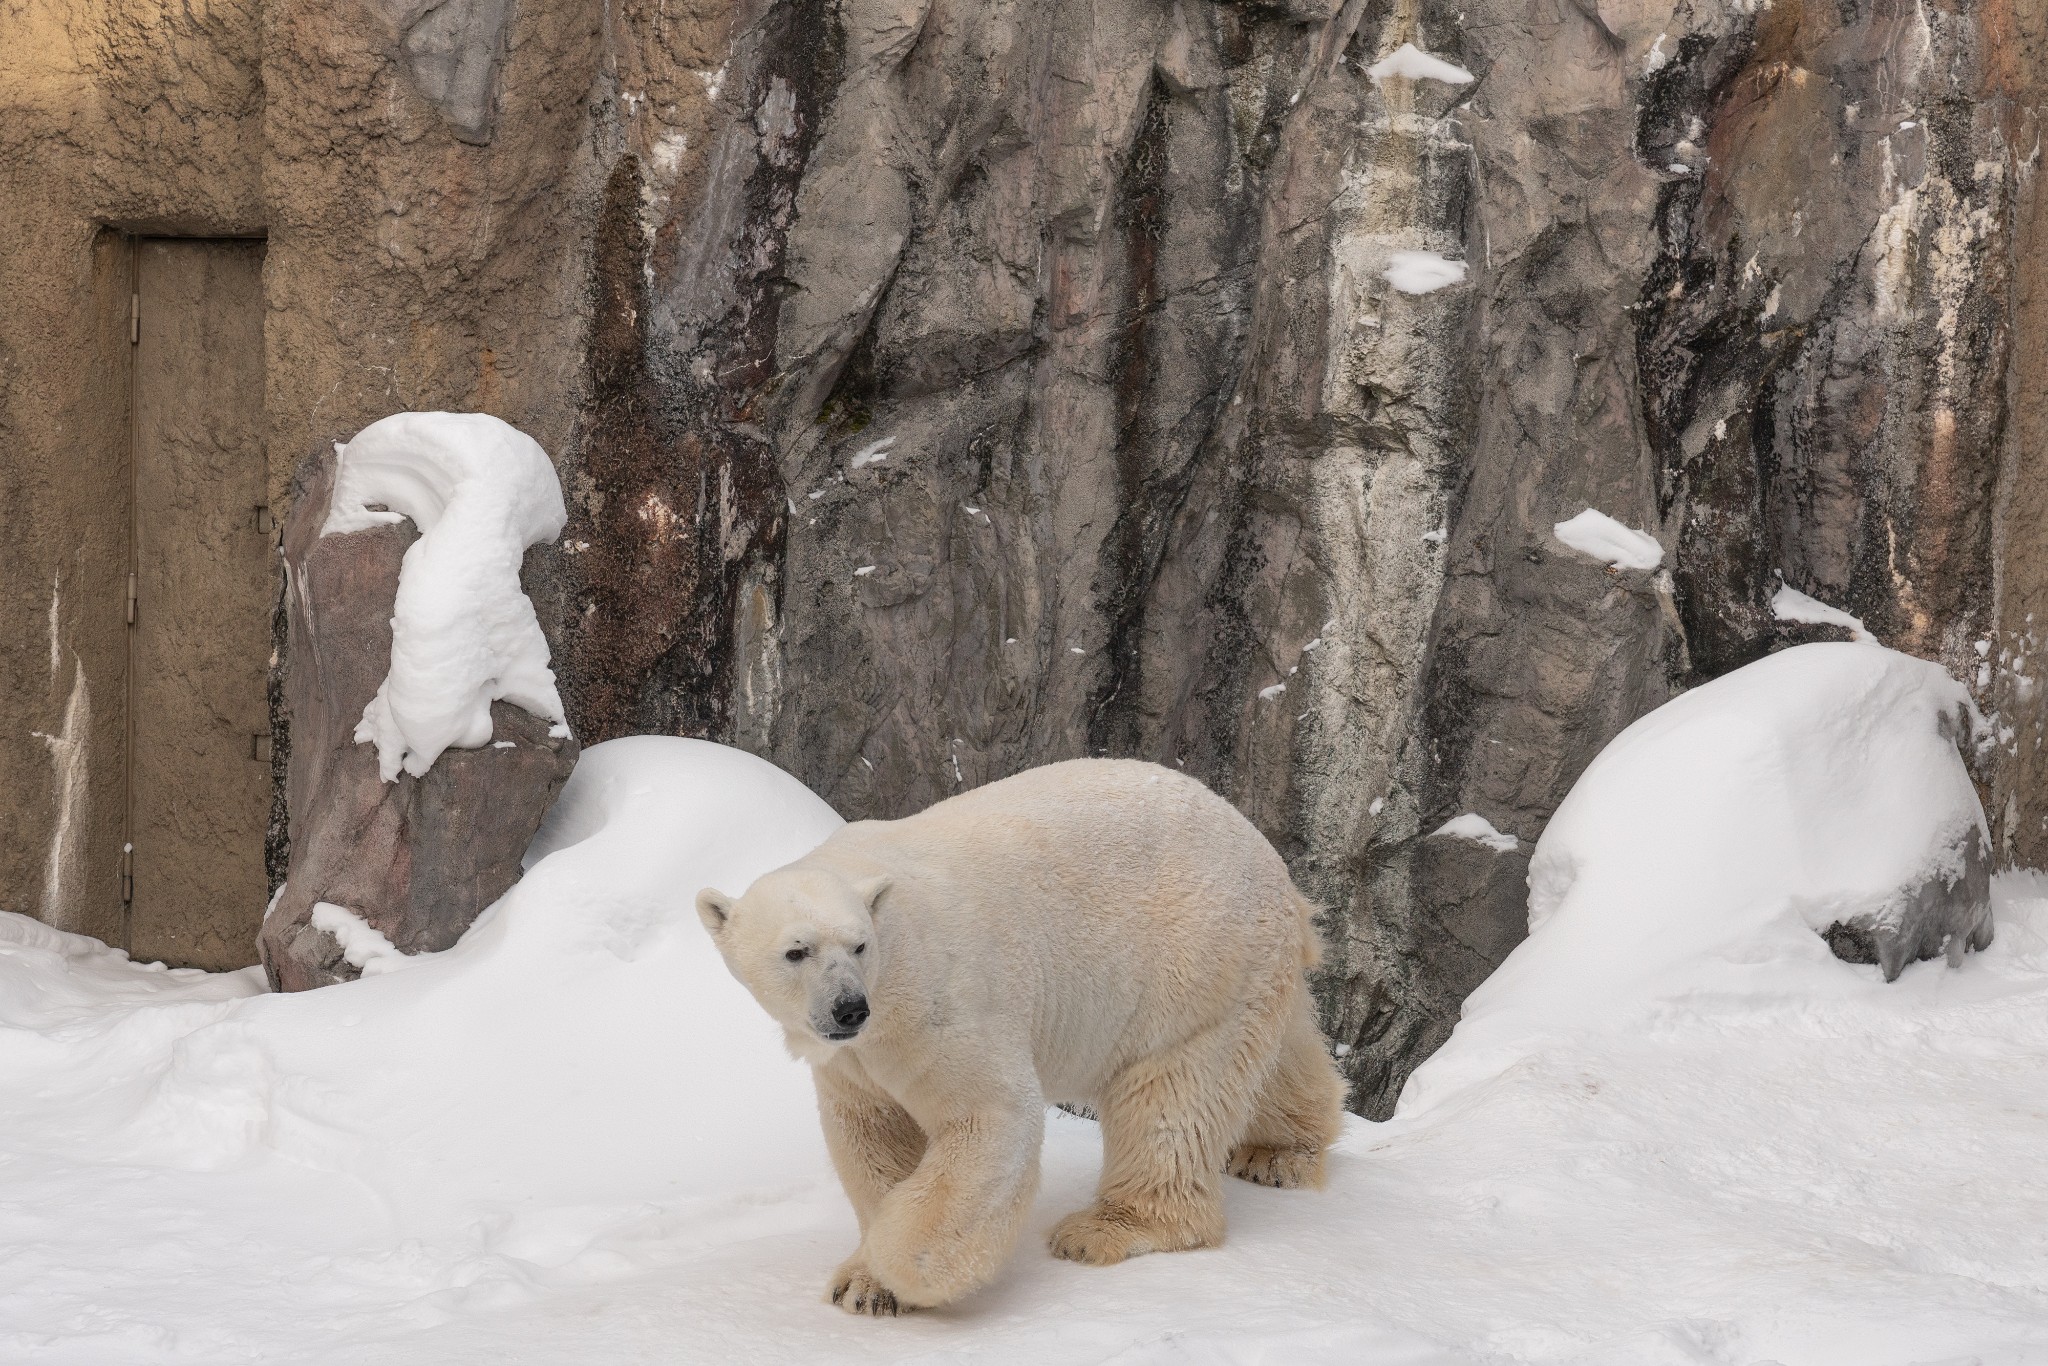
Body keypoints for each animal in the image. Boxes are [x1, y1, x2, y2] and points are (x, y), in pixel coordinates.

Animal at [696, 757, 1351, 1310]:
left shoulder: (941, 1003)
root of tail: (1268, 858)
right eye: (796, 951)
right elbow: (873, 1135)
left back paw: (1105, 1230)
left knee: (1173, 1095)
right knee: (1276, 1052)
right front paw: (863, 1286)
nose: (848, 1009)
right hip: (1245, 965)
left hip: (1191, 956)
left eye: (858, 946)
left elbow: (988, 1117)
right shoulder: (852, 1062)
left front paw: (895, 1268)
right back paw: (1277, 1152)